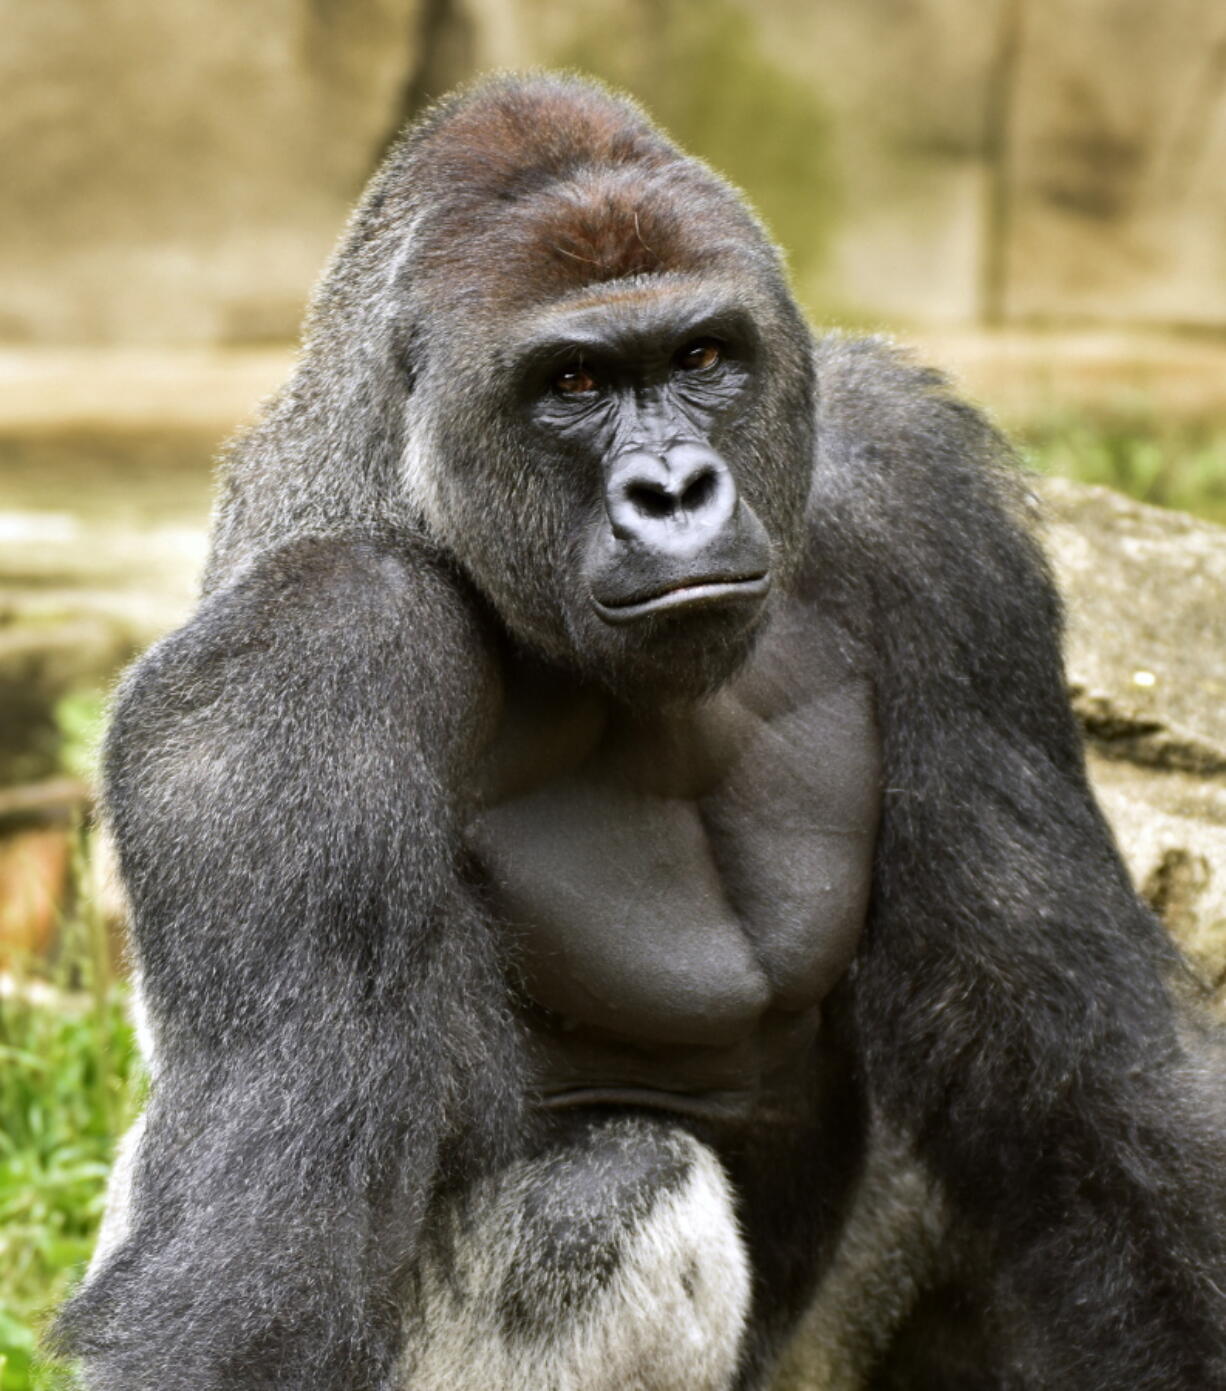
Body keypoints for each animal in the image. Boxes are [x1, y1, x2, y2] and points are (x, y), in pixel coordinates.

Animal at [54, 73, 1224, 1391]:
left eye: (701, 355)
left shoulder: (921, 501)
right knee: (609, 1188)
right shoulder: (299, 664)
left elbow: (1083, 1080)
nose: (672, 491)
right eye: (572, 384)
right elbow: (264, 1268)